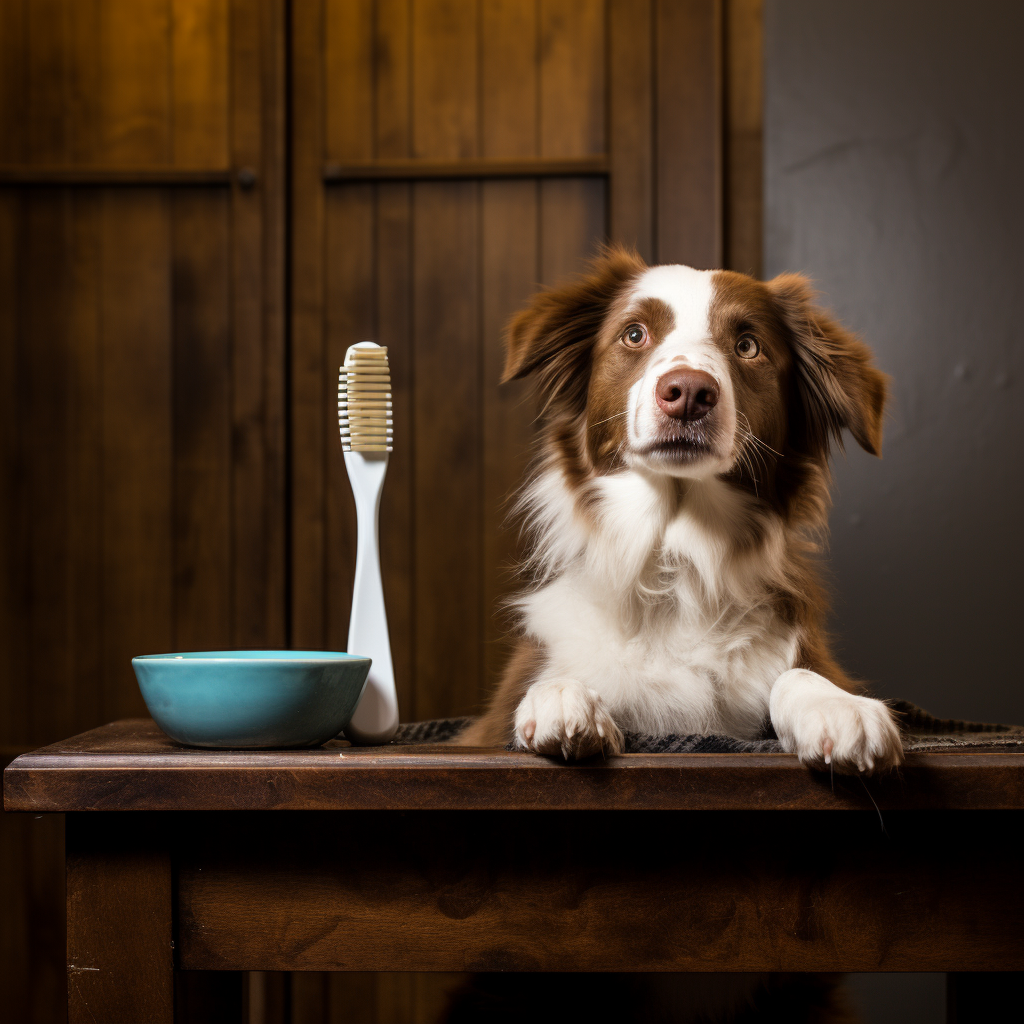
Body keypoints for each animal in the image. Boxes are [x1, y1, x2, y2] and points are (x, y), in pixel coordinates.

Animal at [460, 247, 901, 774]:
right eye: (634, 334)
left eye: (748, 345)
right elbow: (555, 681)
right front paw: (562, 697)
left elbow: (796, 675)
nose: (688, 392)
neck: (675, 560)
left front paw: (837, 707)